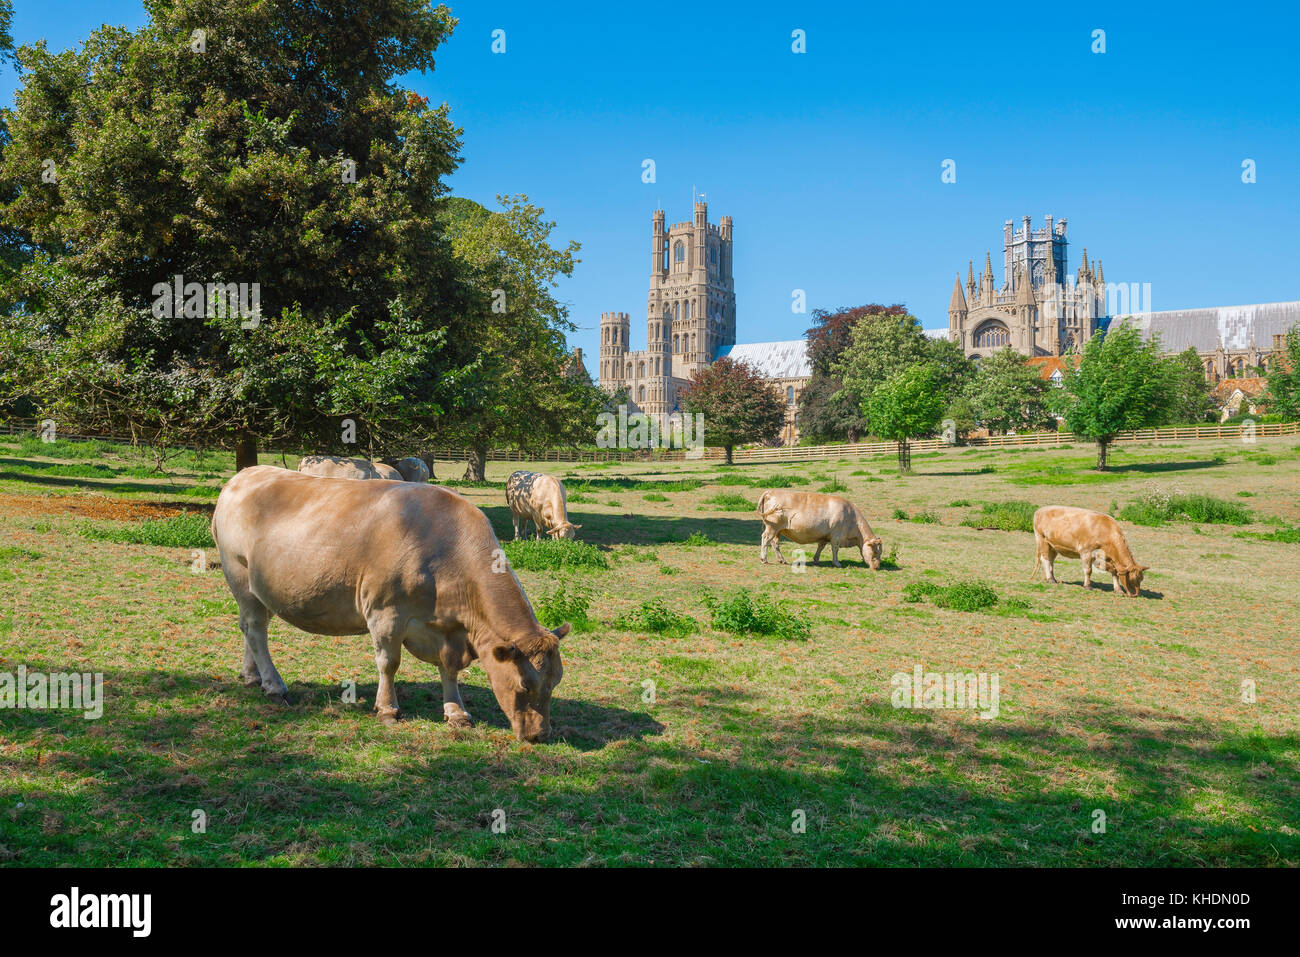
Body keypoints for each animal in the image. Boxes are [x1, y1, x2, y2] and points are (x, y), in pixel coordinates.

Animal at [213, 468, 569, 743]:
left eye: (556, 682)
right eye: (524, 684)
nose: (540, 735)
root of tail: (244, 475)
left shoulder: (448, 629)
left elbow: (449, 669)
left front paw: (456, 712)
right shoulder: (385, 612)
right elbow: (389, 663)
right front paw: (387, 709)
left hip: (261, 588)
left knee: (252, 629)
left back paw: (252, 676)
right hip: (238, 573)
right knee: (254, 629)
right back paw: (274, 686)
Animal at [754, 488, 883, 564]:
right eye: (876, 552)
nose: (876, 567)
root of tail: (770, 491)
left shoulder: (825, 536)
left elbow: (820, 547)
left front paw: (816, 559)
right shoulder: (836, 536)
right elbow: (835, 549)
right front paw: (837, 563)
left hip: (778, 530)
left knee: (774, 543)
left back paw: (782, 560)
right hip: (772, 527)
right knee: (765, 539)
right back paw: (764, 559)